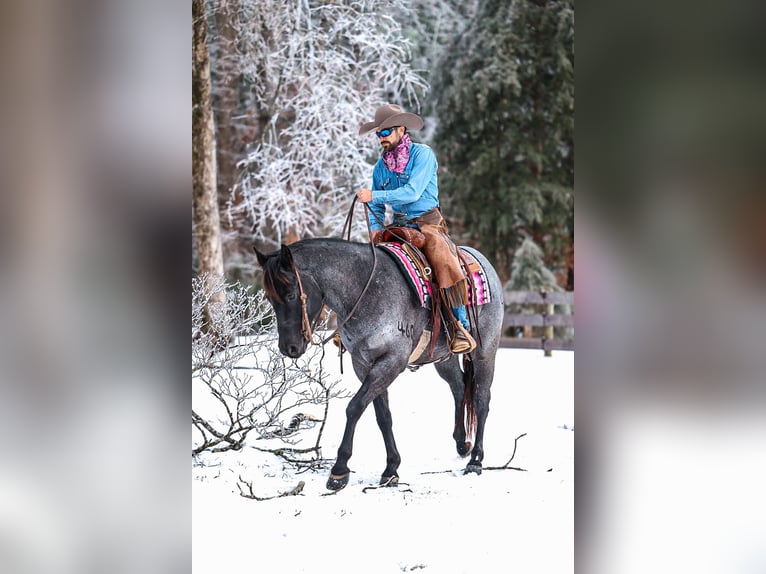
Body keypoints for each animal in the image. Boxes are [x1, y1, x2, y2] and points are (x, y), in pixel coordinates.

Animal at [254, 237, 504, 491]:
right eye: (270, 298)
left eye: (291, 294)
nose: (289, 348)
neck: (365, 290)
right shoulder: (363, 364)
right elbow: (383, 416)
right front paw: (391, 468)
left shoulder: (392, 361)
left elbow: (355, 407)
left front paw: (339, 470)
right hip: (444, 358)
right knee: (459, 387)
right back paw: (462, 443)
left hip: (485, 352)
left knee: (482, 398)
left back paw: (476, 460)